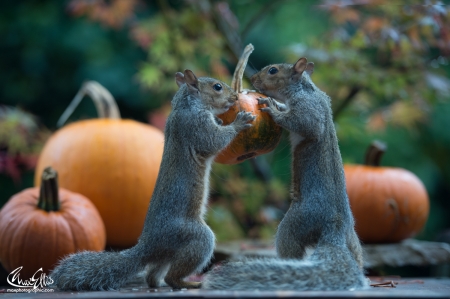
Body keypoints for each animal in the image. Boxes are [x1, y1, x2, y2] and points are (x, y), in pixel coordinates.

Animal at [49, 69, 255, 290]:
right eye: (217, 87)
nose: (235, 98)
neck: (186, 106)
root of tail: (147, 246)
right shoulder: (196, 125)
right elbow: (214, 141)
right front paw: (239, 122)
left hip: (166, 255)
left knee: (153, 276)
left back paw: (161, 283)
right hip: (195, 237)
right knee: (173, 275)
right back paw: (189, 283)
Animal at [203, 58, 370, 290]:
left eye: (273, 71)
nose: (252, 79)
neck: (306, 88)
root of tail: (335, 228)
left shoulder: (309, 108)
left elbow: (305, 124)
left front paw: (273, 110)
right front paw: (278, 105)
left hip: (296, 222)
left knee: (289, 245)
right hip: (352, 239)